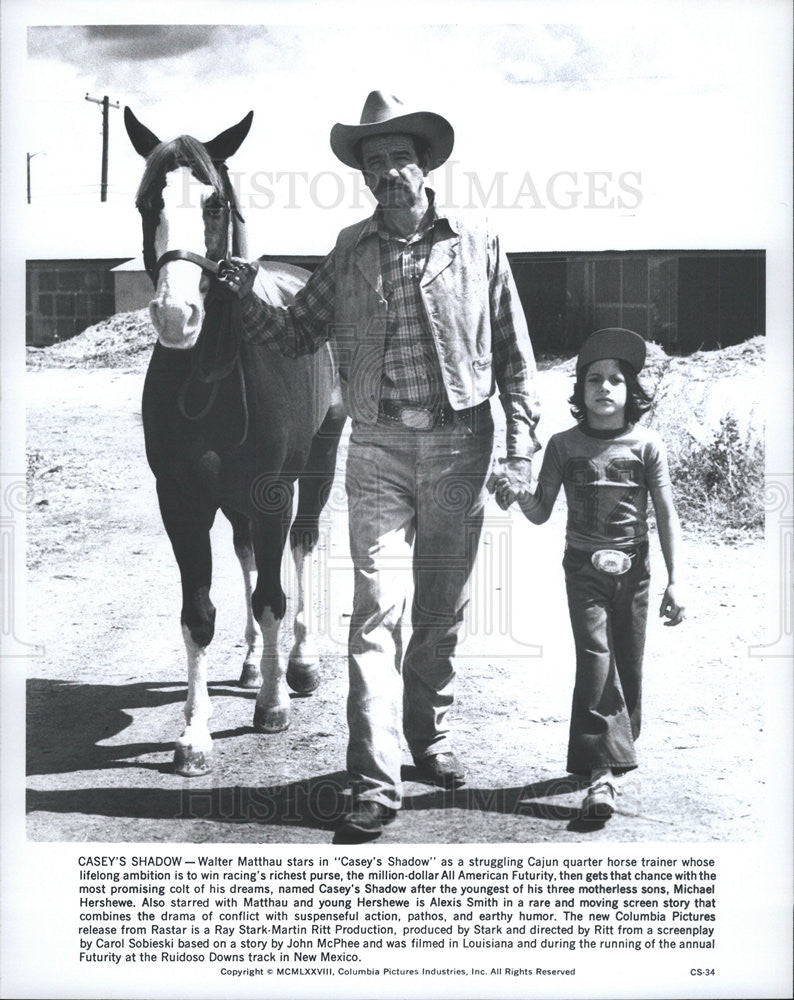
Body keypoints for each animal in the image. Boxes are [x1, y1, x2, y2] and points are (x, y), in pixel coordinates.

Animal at [123, 111, 344, 780]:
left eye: (215, 203)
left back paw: (300, 663)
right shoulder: (182, 500)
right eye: (146, 201)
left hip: (317, 466)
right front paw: (195, 734)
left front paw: (272, 705)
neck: (213, 374)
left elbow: (273, 597)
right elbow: (199, 614)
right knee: (247, 554)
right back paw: (251, 663)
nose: (176, 315)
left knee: (300, 546)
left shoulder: (271, 492)